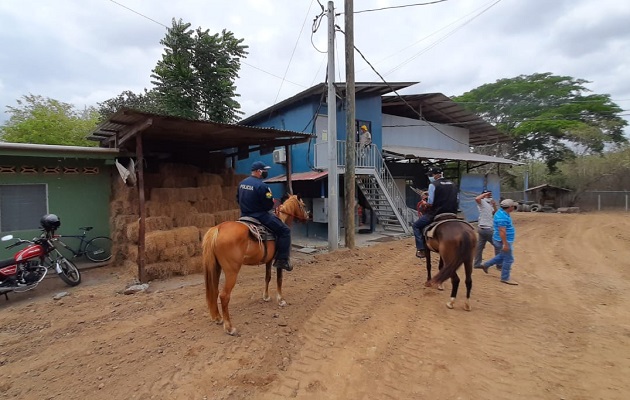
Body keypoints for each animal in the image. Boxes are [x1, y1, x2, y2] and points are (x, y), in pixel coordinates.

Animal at [204, 194, 310, 334]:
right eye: (303, 205)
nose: (307, 217)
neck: (282, 218)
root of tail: (217, 229)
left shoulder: (269, 260)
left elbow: (267, 277)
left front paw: (266, 296)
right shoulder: (278, 260)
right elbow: (279, 279)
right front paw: (281, 300)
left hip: (216, 268)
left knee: (214, 291)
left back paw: (218, 318)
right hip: (231, 271)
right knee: (224, 296)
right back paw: (229, 327)